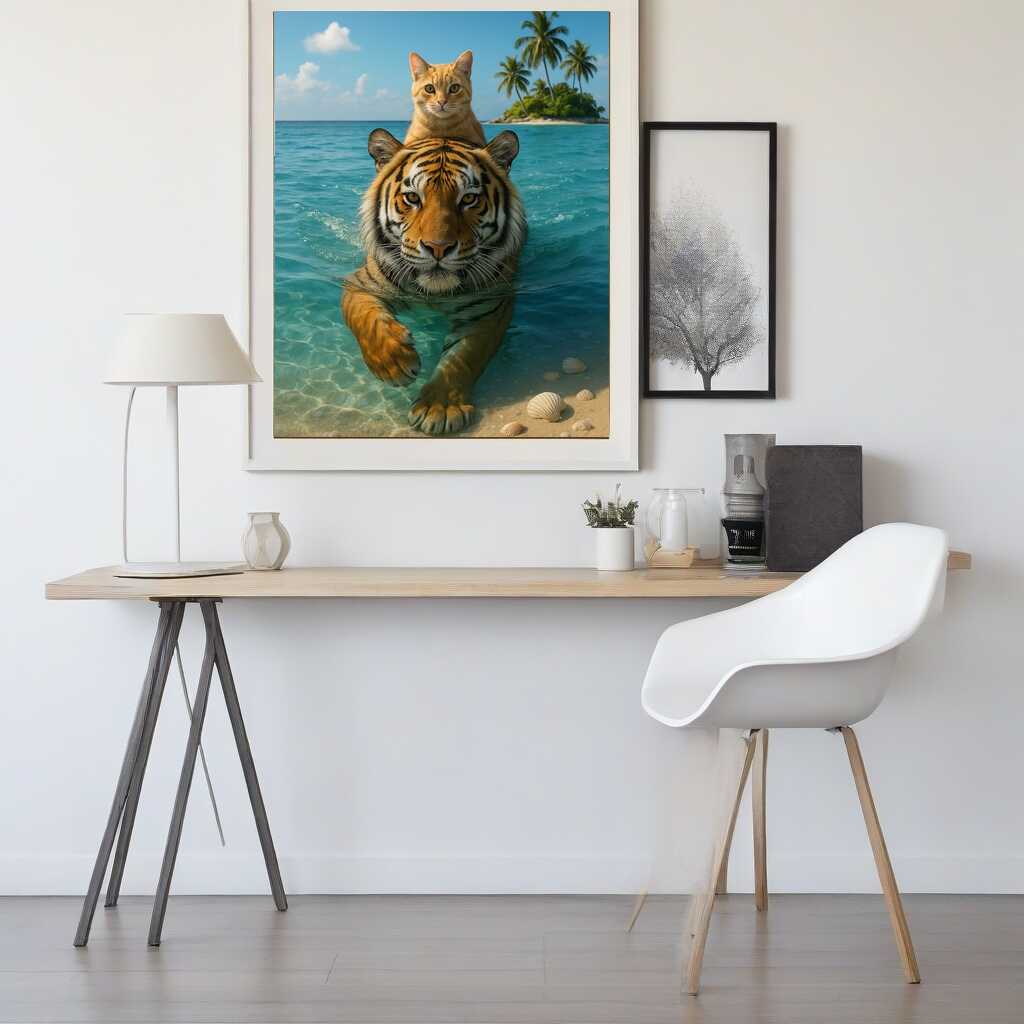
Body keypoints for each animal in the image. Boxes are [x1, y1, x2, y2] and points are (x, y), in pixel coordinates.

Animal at [341, 128, 526, 435]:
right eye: (412, 198)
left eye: (469, 199)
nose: (438, 248)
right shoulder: (360, 282)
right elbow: (363, 317)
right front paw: (393, 362)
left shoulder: (489, 308)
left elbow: (463, 357)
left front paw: (439, 407)